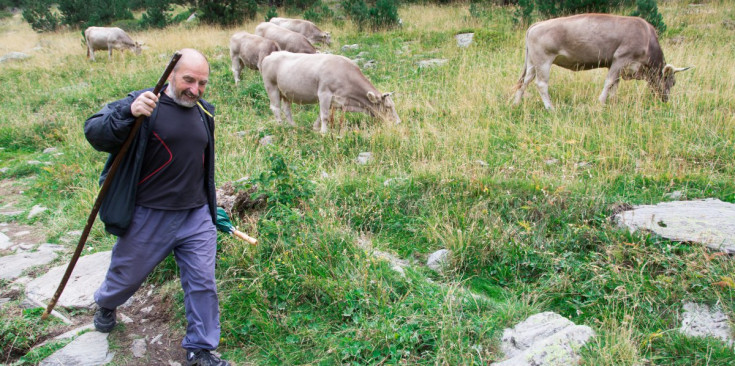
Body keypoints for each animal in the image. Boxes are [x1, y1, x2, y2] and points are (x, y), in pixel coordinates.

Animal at [260, 50, 400, 133]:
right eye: (387, 107)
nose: (398, 122)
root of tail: (270, 55)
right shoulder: (324, 93)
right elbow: (325, 116)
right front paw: (324, 133)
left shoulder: (337, 100)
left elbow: (321, 114)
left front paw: (315, 127)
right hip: (271, 87)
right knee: (275, 108)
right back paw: (281, 126)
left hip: (286, 93)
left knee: (287, 109)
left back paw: (293, 126)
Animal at [516, 14, 692, 108]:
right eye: (673, 82)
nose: (666, 99)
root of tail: (537, 24)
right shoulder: (620, 58)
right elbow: (609, 82)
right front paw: (601, 103)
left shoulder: (617, 66)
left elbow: (615, 85)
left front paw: (613, 102)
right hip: (544, 60)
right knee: (541, 84)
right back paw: (550, 108)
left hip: (532, 63)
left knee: (524, 81)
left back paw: (515, 103)